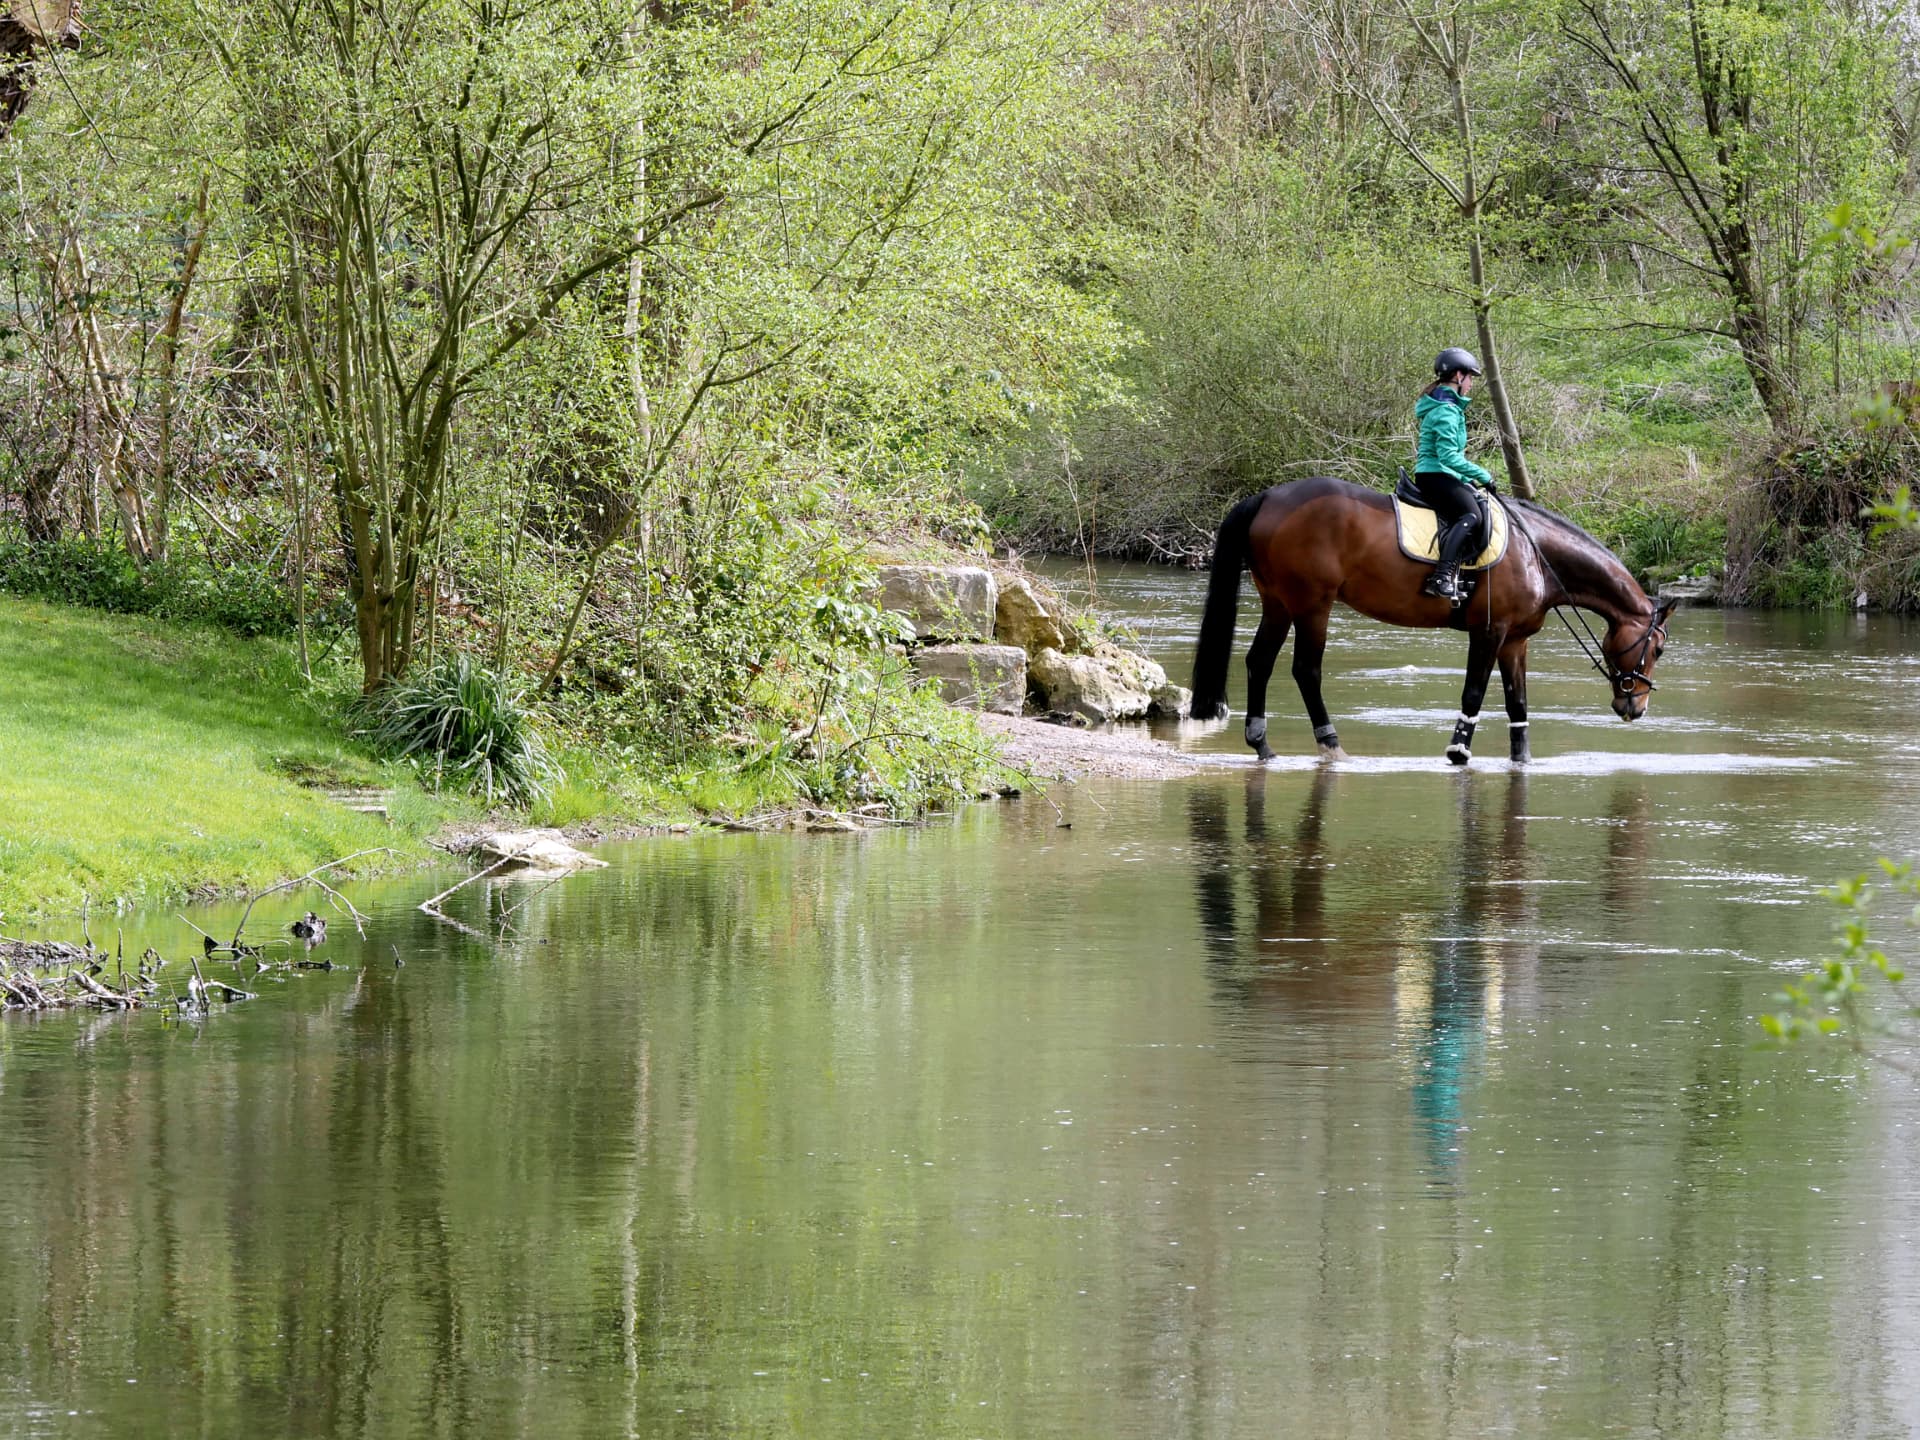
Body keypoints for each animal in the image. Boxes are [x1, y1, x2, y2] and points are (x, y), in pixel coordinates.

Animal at [1189, 477, 1676, 764]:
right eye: (1657, 648)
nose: (1636, 707)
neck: (1536, 552)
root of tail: (1268, 496)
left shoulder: (1515, 641)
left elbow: (1517, 704)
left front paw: (1521, 759)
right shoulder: (1490, 632)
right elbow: (1474, 693)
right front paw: (1458, 751)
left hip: (1279, 603)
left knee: (1259, 663)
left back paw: (1262, 744)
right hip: (1312, 605)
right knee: (1306, 670)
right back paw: (1330, 743)